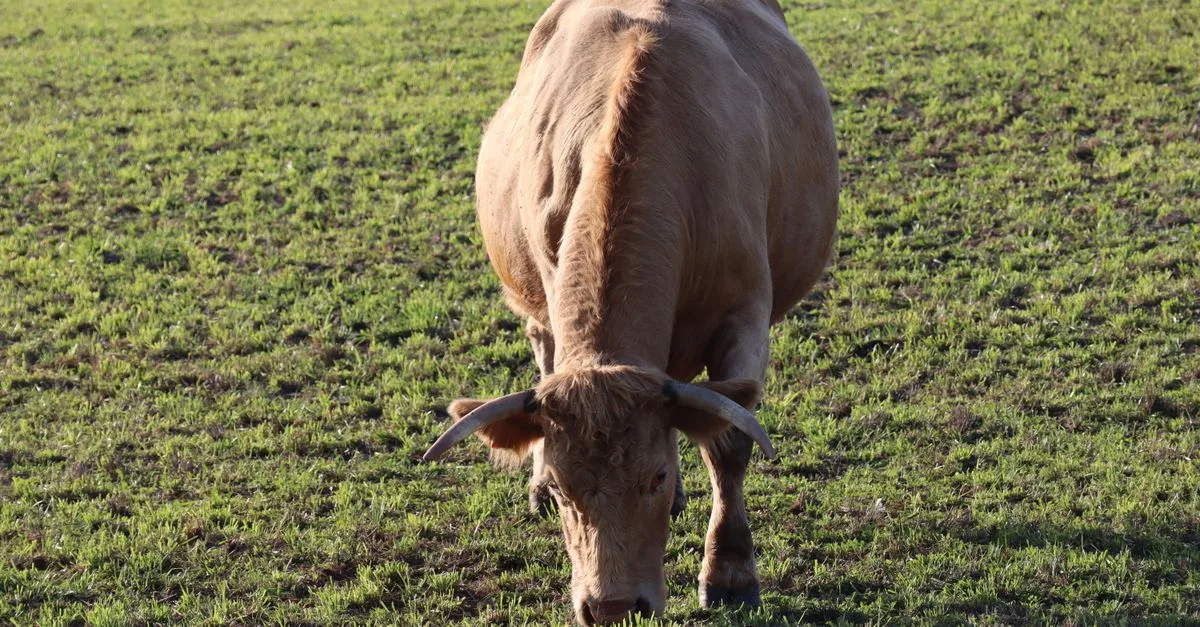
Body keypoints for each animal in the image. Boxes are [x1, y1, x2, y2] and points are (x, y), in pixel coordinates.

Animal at [423, 0, 838, 623]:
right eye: (566, 488)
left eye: (656, 476)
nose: (613, 606)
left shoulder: (744, 318)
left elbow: (727, 442)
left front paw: (731, 572)